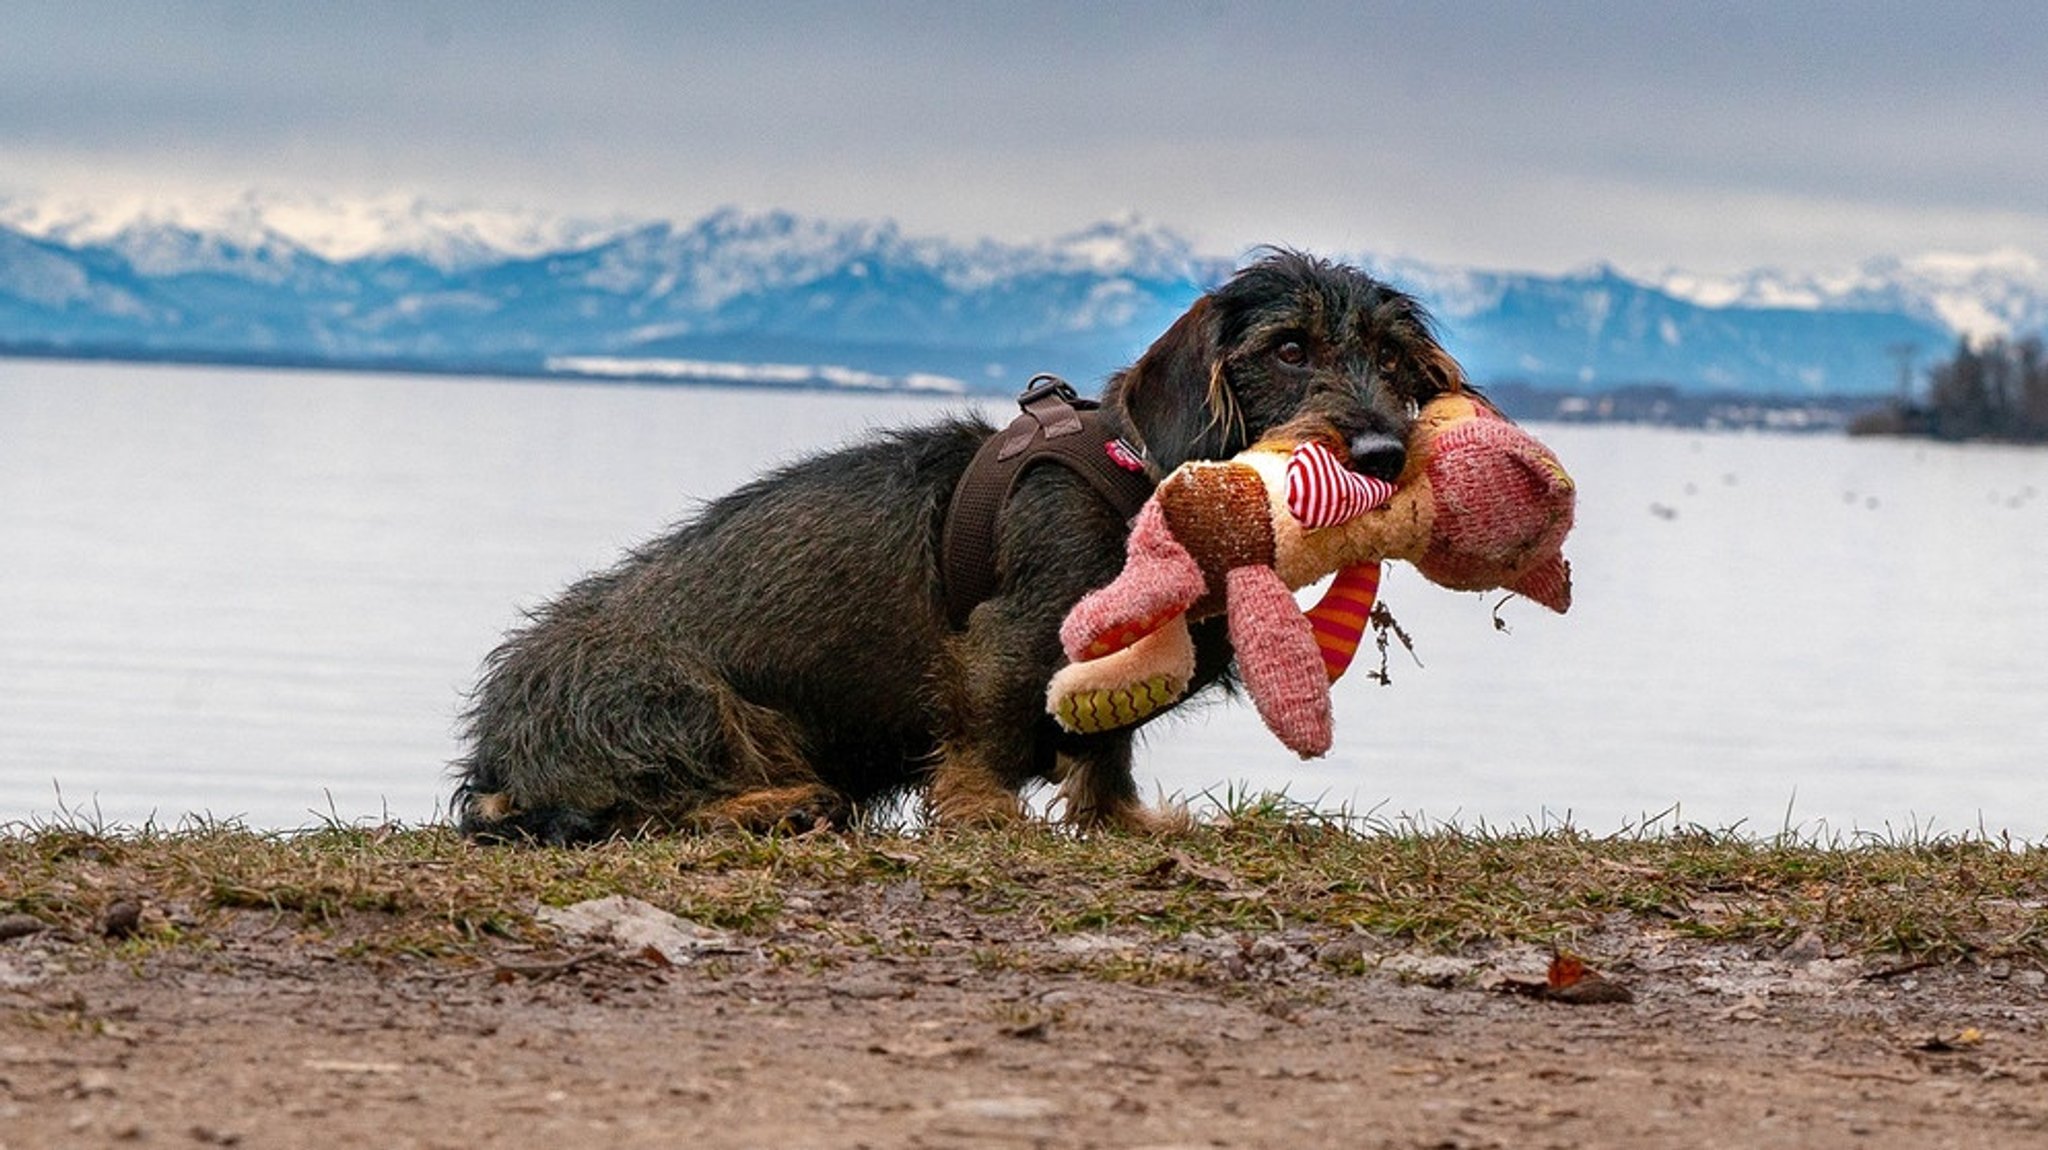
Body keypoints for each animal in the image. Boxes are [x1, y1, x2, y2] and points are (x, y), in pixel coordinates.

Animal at [456, 252, 1466, 843]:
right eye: (1289, 349)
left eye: (1395, 361)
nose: (1382, 455)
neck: (1147, 483)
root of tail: (498, 753)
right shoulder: (1014, 638)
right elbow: (988, 729)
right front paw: (984, 813)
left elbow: (1106, 753)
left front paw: (1132, 821)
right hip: (681, 698)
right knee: (646, 802)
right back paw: (782, 805)